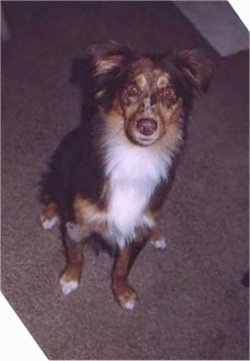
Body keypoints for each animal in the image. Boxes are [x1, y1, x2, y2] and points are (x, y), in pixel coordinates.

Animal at [40, 40, 212, 310]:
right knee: (54, 192)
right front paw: (70, 279)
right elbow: (76, 255)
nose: (146, 126)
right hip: (62, 160)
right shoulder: (78, 222)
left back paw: (157, 235)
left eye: (169, 93)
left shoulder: (137, 228)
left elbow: (122, 266)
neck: (135, 155)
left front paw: (123, 293)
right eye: (131, 89)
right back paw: (49, 215)